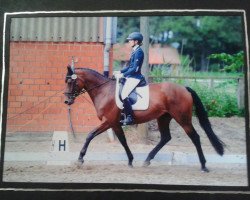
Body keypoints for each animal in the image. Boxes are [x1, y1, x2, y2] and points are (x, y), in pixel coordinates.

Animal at [64, 66, 225, 172]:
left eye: (71, 82)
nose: (67, 101)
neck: (104, 91)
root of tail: (185, 88)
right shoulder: (114, 123)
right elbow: (116, 139)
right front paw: (130, 160)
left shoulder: (110, 122)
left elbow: (97, 136)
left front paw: (80, 159)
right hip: (164, 118)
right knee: (165, 137)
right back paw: (147, 160)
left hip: (183, 119)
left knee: (195, 137)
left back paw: (203, 166)